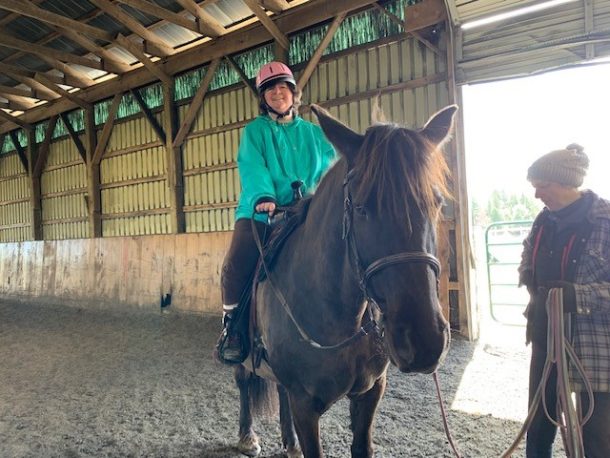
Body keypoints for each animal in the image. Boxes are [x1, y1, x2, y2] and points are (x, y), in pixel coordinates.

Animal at [233, 104, 456, 458]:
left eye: (436, 203)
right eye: (362, 207)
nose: (424, 342)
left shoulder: (370, 392)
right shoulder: (305, 405)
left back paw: (290, 443)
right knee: (243, 380)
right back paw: (247, 436)